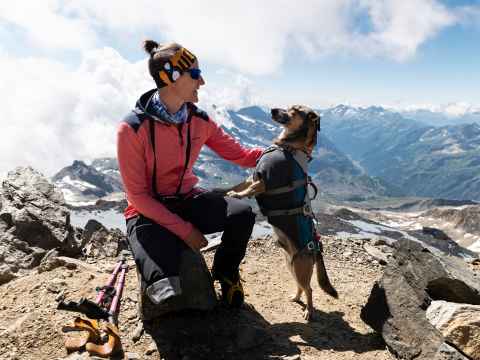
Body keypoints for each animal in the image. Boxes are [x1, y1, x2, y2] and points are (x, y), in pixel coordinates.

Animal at [228, 105, 338, 320]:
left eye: (294, 110)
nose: (271, 109)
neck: (288, 147)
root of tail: (316, 249)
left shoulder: (264, 180)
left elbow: (248, 189)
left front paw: (237, 195)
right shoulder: (254, 175)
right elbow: (242, 184)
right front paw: (228, 191)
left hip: (301, 269)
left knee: (310, 289)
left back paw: (309, 311)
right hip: (291, 266)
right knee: (301, 287)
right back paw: (295, 298)